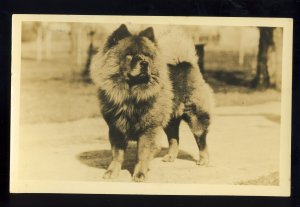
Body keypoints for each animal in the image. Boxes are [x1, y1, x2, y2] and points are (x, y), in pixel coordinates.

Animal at [90, 25, 214, 182]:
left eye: (146, 55)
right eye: (130, 55)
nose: (144, 63)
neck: (132, 94)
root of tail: (185, 64)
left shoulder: (148, 129)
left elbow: (142, 154)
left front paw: (140, 174)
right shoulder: (116, 127)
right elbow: (117, 154)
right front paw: (112, 172)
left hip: (195, 116)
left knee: (201, 139)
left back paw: (203, 160)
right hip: (170, 121)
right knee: (174, 139)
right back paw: (170, 157)